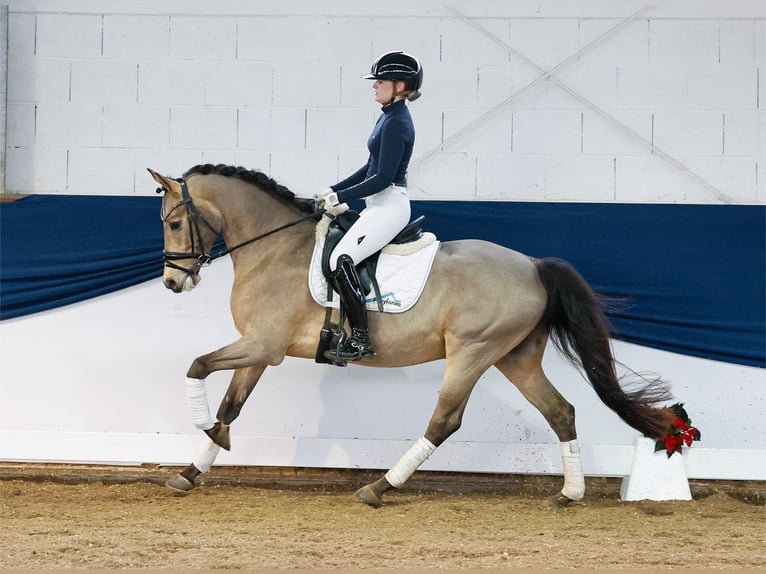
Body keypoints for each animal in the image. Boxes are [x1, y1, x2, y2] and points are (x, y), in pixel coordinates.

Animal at [147, 162, 676, 508]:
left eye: (173, 222)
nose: (173, 283)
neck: (274, 248)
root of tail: (532, 264)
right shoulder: (258, 349)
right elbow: (230, 405)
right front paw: (192, 469)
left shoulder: (265, 347)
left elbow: (197, 366)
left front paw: (205, 433)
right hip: (516, 357)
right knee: (560, 411)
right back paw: (570, 493)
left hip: (472, 352)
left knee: (444, 421)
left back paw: (378, 488)